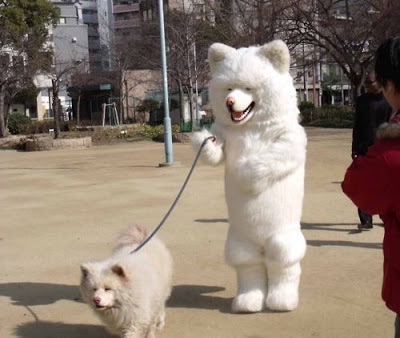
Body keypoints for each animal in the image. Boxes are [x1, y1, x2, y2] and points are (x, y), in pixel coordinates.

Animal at [192, 41, 308, 312]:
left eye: (247, 87)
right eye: (229, 87)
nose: (230, 101)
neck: (252, 128)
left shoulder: (291, 139)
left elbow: (275, 157)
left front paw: (244, 173)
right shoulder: (223, 134)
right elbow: (216, 153)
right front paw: (204, 143)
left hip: (281, 235)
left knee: (283, 263)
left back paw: (281, 301)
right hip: (240, 239)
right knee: (249, 265)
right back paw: (248, 301)